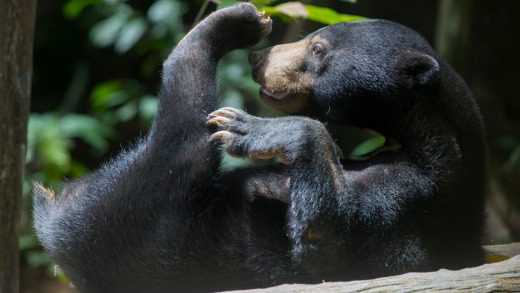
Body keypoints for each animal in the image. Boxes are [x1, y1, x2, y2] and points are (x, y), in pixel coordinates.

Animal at [33, 2, 488, 292]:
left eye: (318, 50)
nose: (258, 60)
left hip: (142, 224)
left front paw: (247, 128)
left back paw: (224, 27)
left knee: (182, 131)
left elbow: (326, 237)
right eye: (313, 36)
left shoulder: (414, 200)